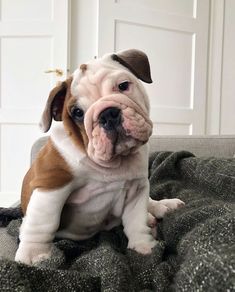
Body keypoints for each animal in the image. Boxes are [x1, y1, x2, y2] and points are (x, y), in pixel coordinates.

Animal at [14, 49, 185, 264]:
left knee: (149, 204)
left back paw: (163, 206)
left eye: (123, 85)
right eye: (77, 112)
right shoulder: (52, 183)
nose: (108, 113)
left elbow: (136, 219)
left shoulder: (137, 188)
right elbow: (43, 221)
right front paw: (32, 254)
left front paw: (143, 247)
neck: (112, 163)